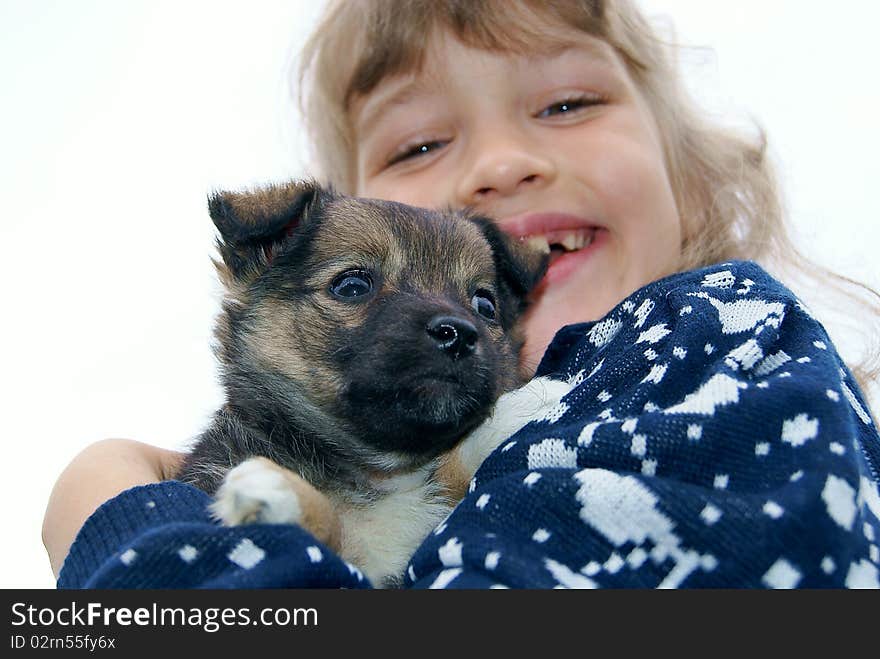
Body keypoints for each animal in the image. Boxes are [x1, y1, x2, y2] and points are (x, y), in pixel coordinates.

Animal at [175, 180, 548, 588]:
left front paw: (515, 409)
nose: (459, 334)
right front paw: (287, 496)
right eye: (352, 286)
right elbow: (338, 536)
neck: (385, 470)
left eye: (485, 306)